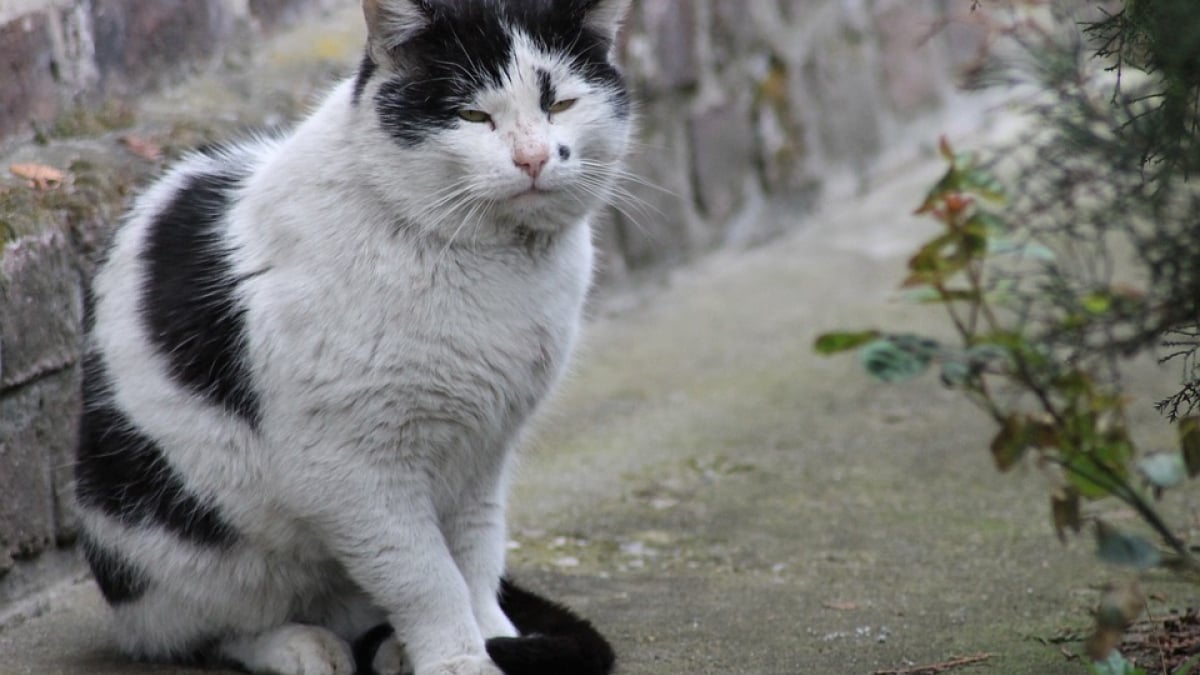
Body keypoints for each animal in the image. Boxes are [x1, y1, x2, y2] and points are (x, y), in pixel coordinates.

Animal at [72, 2, 638, 667]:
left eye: (562, 105)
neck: (499, 265)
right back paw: (303, 647)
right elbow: (425, 576)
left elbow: (476, 561)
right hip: (179, 548)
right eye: (474, 115)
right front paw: (460, 660)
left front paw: (496, 638)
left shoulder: (483, 457)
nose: (532, 158)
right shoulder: (351, 471)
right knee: (205, 633)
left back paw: (393, 651)